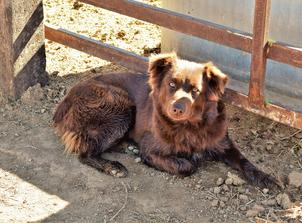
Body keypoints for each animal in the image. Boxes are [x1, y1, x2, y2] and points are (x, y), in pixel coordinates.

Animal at [52, 52, 280, 188]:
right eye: (171, 84)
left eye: (196, 90)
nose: (177, 109)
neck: (191, 127)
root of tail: (66, 100)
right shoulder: (150, 148)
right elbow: (187, 166)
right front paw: (190, 160)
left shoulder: (223, 143)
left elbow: (244, 161)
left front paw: (266, 178)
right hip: (121, 107)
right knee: (85, 152)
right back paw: (113, 166)